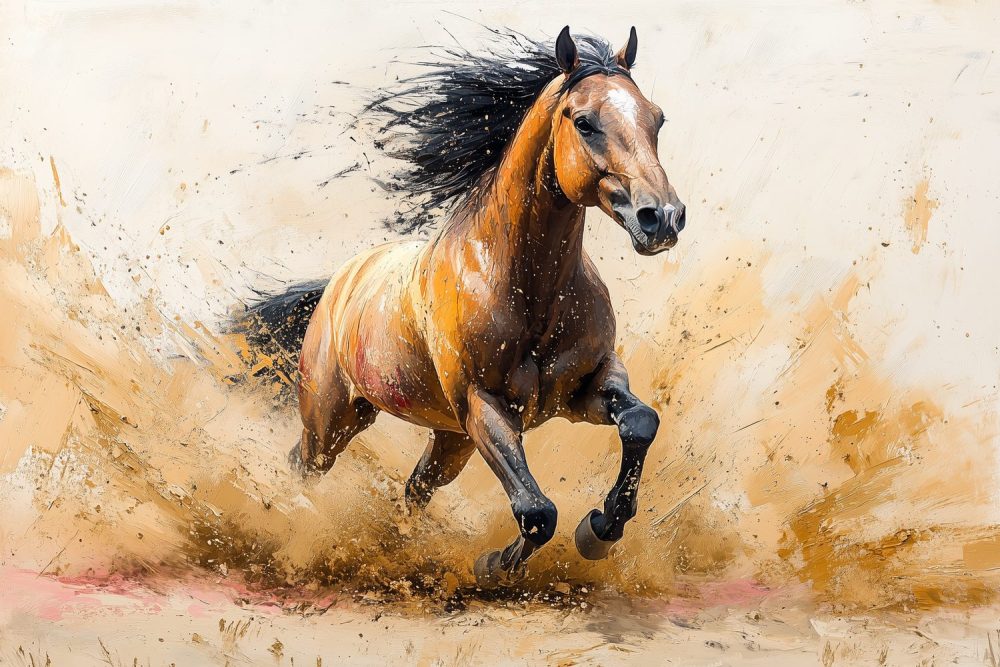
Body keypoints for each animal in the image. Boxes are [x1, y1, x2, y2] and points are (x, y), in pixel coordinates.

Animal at [241, 26, 686, 586]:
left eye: (658, 118)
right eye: (584, 122)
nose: (662, 217)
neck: (526, 290)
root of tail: (340, 282)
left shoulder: (585, 388)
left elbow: (640, 422)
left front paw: (600, 530)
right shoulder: (484, 407)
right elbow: (537, 512)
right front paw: (495, 565)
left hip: (450, 441)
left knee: (414, 489)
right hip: (335, 419)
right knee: (304, 462)